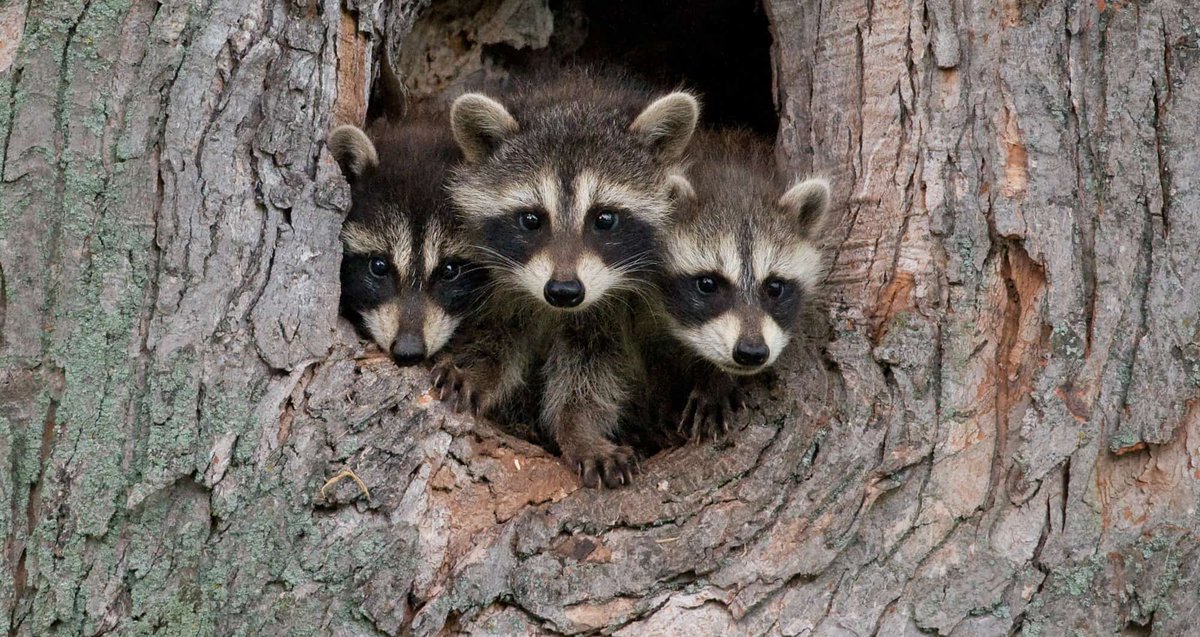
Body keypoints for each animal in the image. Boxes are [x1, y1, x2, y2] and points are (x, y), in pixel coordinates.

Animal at [434, 69, 699, 488]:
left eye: (604, 219)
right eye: (531, 219)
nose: (563, 291)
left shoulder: (612, 310)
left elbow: (592, 372)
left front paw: (580, 430)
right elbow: (496, 336)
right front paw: (477, 370)